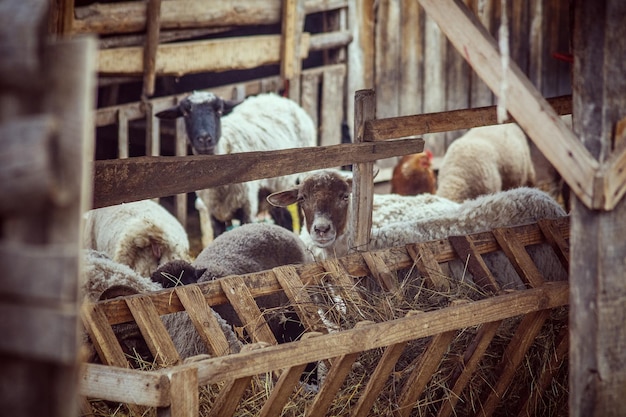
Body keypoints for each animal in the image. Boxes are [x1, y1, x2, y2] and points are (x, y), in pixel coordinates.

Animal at [154, 91, 314, 240]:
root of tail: (275, 97)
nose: (204, 139)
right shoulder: (214, 214)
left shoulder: (247, 207)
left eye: (219, 111)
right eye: (186, 113)